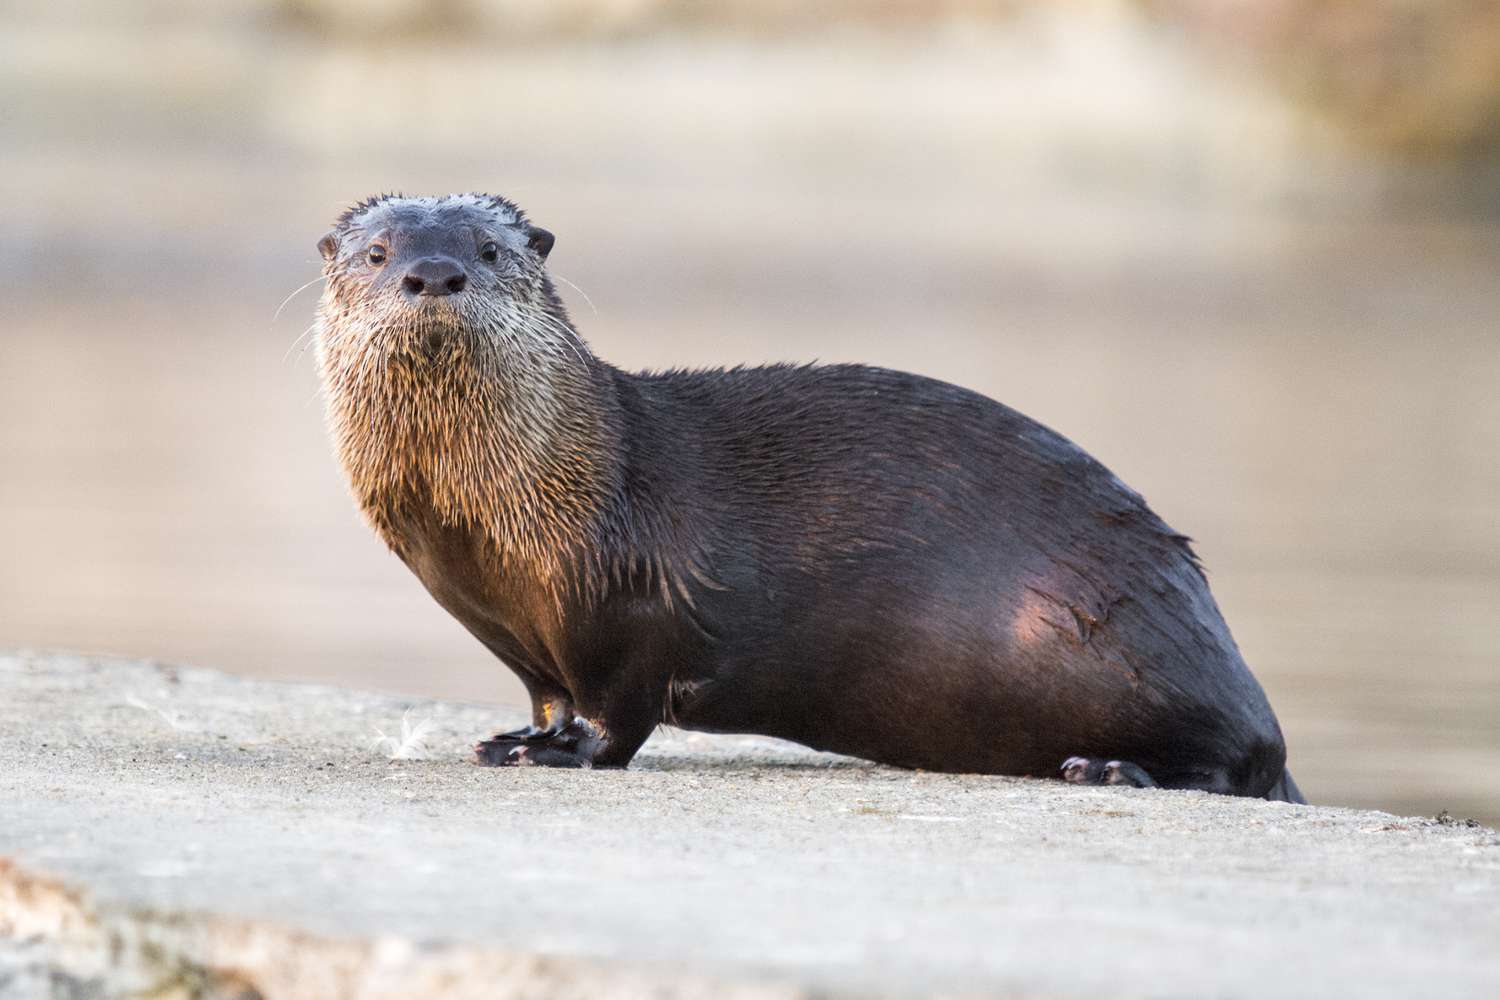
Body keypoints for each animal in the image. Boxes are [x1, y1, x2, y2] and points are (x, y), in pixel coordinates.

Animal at [312, 192, 1303, 802]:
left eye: (487, 250)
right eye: (377, 252)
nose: (433, 273)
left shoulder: (635, 598)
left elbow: (618, 711)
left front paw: (566, 753)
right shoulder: (522, 634)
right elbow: (549, 694)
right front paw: (516, 739)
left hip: (1138, 638)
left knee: (1247, 760)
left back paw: (1109, 770)